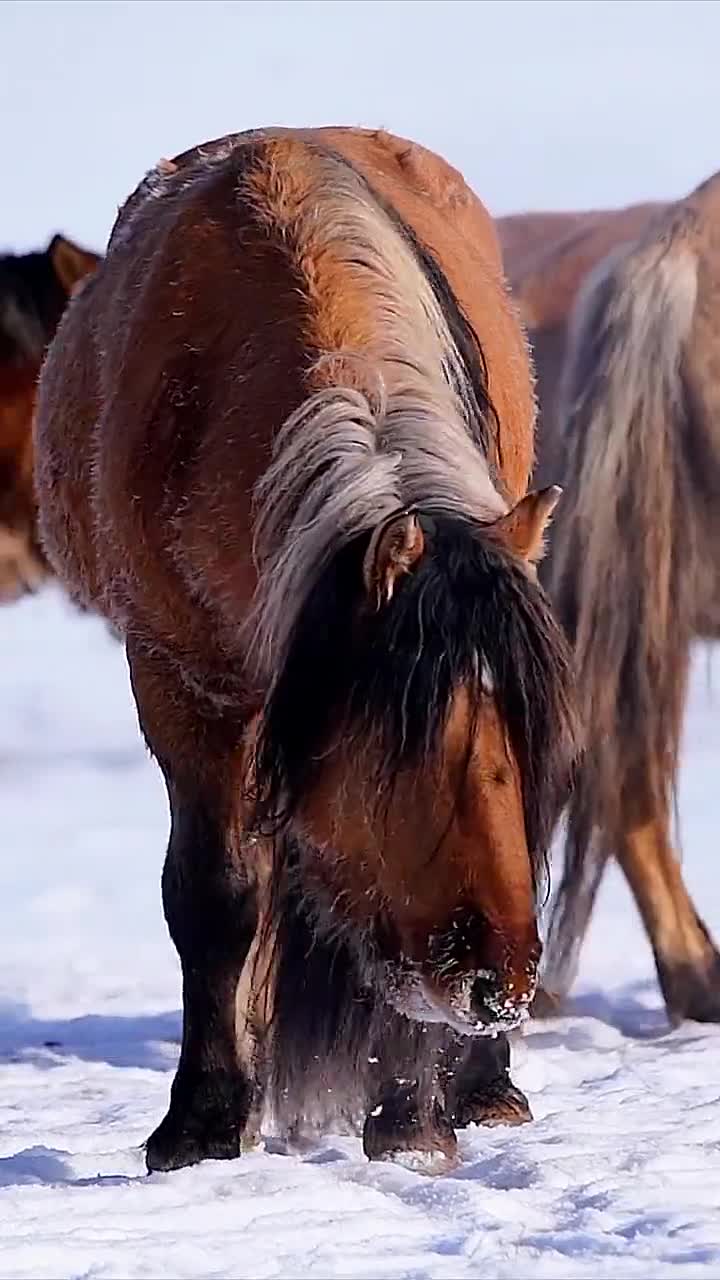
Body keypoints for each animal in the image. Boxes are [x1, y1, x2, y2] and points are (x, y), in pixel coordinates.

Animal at [33, 127, 576, 1172]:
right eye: (414, 740)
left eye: (525, 736)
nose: (499, 982)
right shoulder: (182, 683)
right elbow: (214, 895)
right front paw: (202, 1123)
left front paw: (410, 1121)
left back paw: (483, 1088)